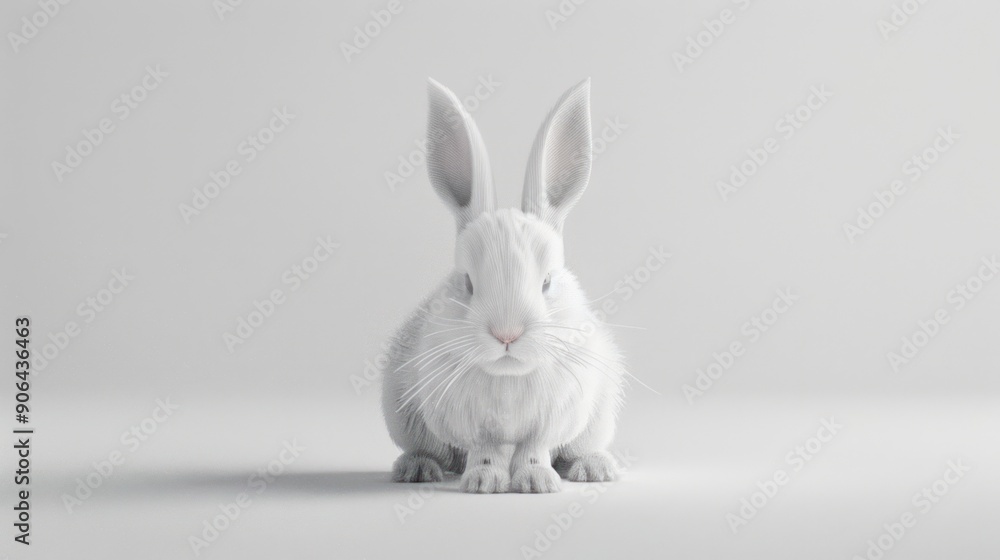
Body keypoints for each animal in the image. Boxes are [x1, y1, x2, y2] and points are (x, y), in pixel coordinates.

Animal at [381, 78, 625, 493]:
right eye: (467, 282)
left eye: (547, 281)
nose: (507, 334)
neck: (509, 375)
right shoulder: (473, 425)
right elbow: (487, 450)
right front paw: (484, 482)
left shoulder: (550, 420)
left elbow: (534, 449)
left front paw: (536, 483)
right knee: (430, 450)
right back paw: (417, 469)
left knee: (576, 450)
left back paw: (595, 469)